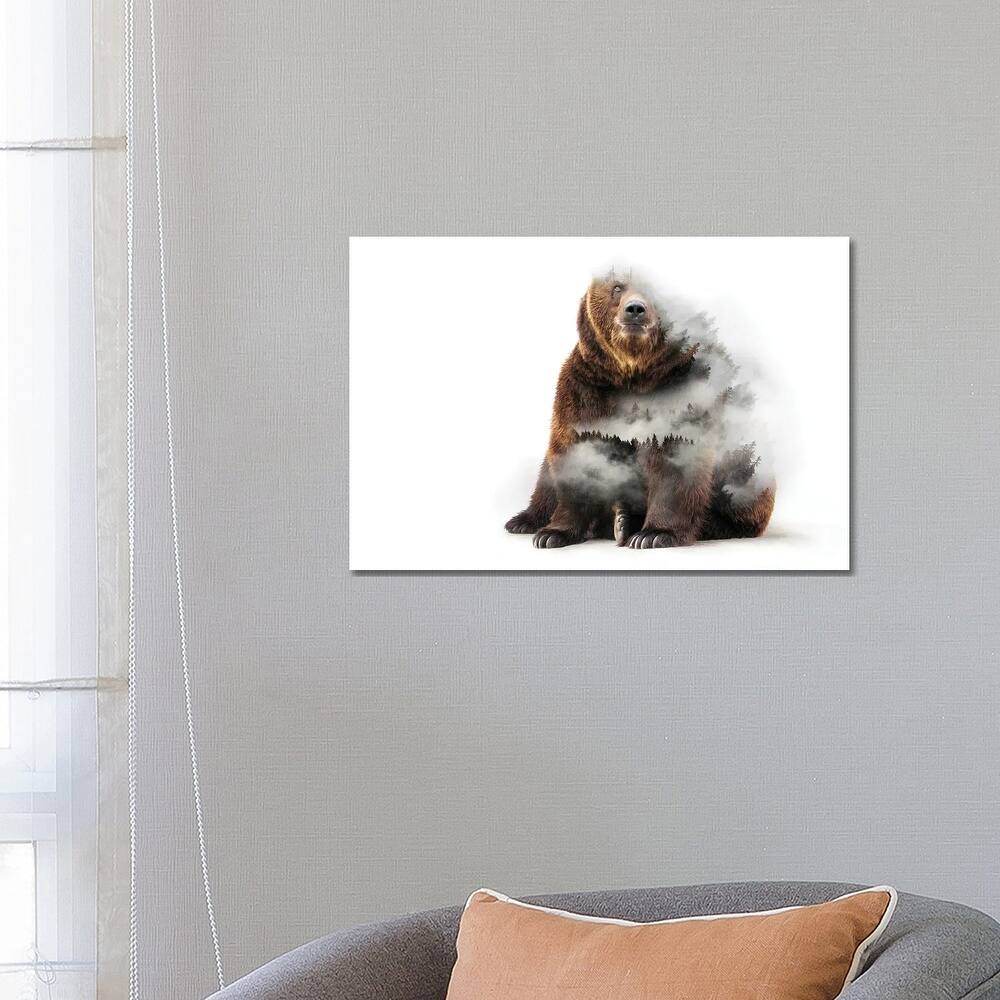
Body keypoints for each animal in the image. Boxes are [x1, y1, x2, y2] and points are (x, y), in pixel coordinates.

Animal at [505, 272, 776, 549]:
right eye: (617, 286)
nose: (635, 309)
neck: (634, 374)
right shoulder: (585, 389)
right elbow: (578, 452)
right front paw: (552, 533)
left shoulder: (685, 387)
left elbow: (675, 460)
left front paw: (654, 533)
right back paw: (526, 521)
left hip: (747, 465)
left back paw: (629, 522)